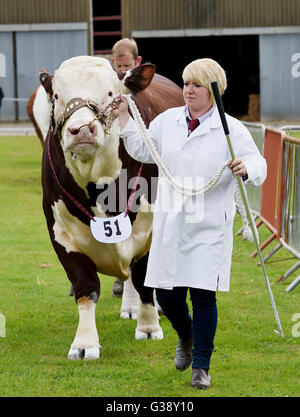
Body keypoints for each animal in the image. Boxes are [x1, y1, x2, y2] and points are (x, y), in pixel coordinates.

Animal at [39, 55, 185, 360]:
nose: (81, 129)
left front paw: (149, 327)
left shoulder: (151, 232)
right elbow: (86, 288)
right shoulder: (62, 236)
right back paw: (129, 308)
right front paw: (84, 343)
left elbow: (144, 281)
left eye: (109, 93)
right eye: (57, 96)